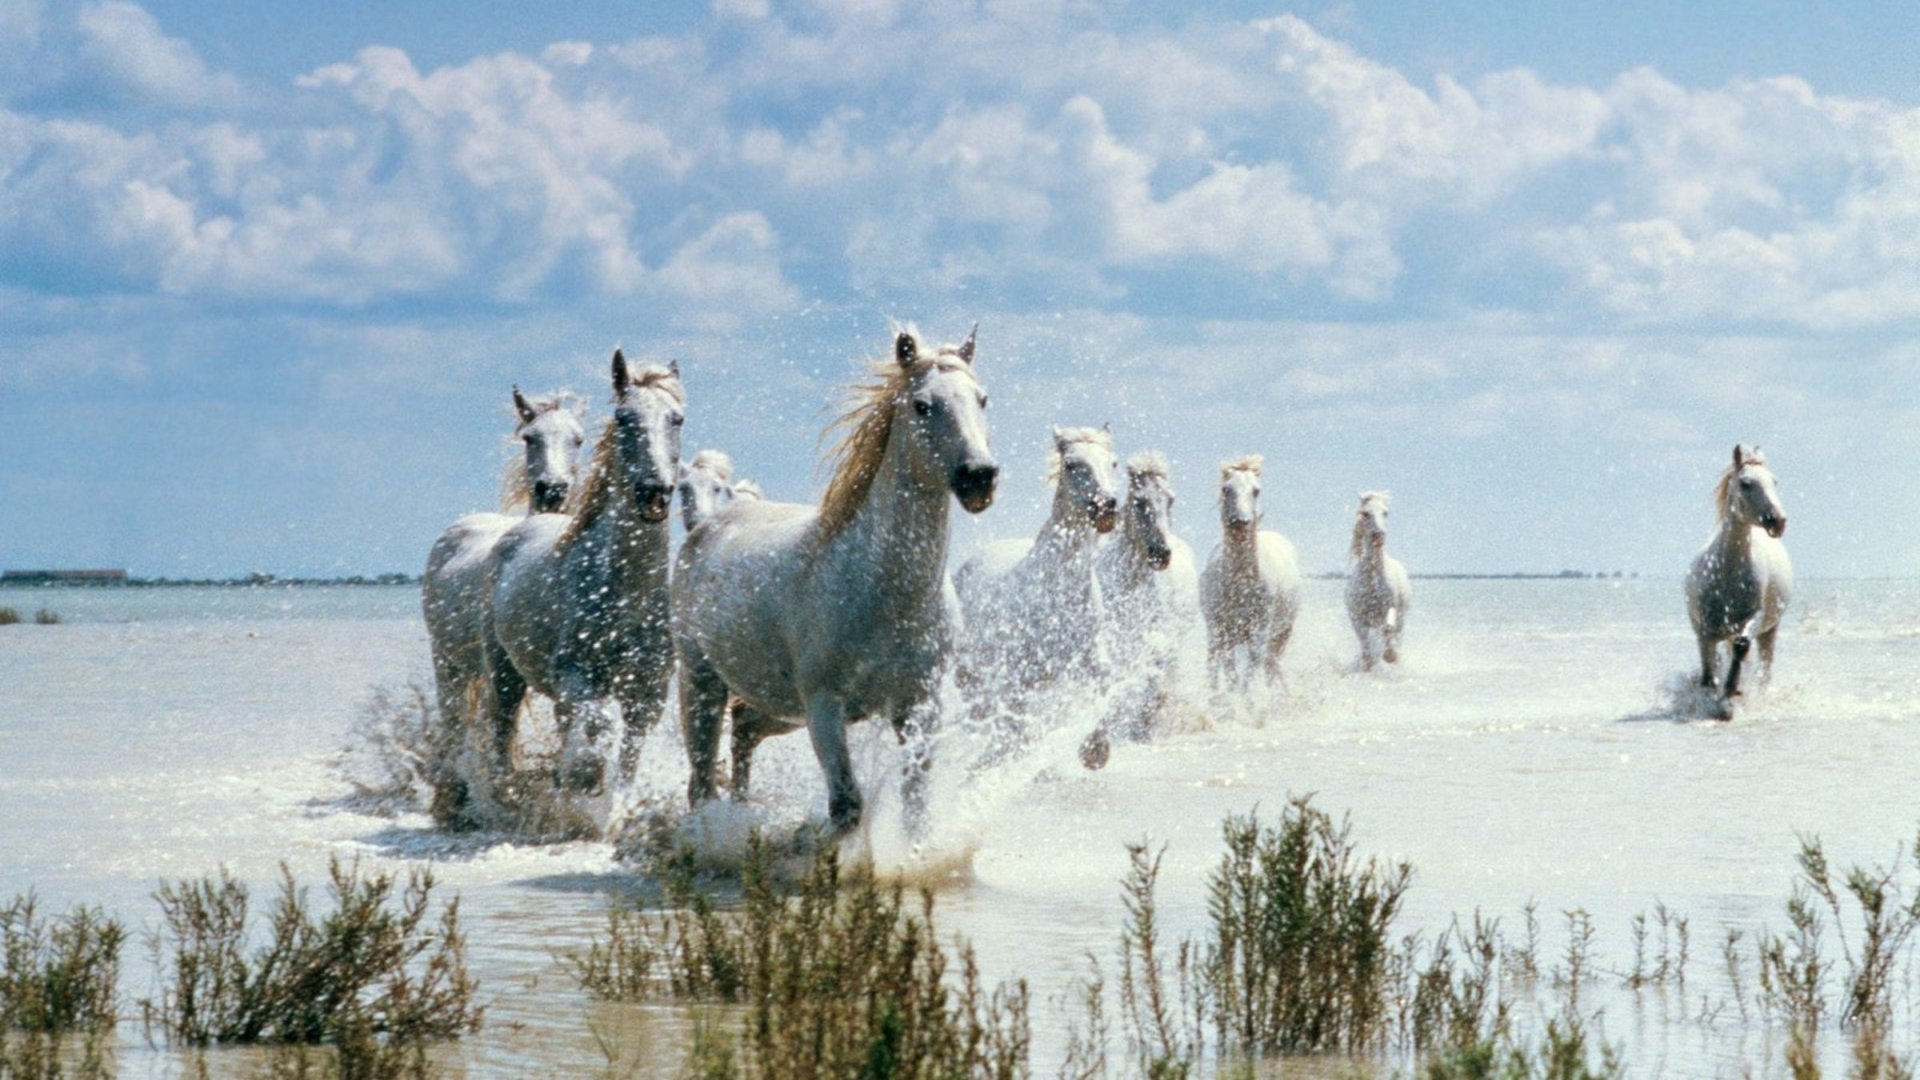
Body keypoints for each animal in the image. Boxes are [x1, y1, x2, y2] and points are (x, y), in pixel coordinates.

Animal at [484, 351, 685, 797]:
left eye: (677, 418)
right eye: (624, 418)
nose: (654, 492)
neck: (627, 592)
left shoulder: (648, 691)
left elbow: (628, 757)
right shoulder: (574, 676)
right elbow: (597, 727)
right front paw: (583, 778)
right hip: (504, 669)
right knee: (502, 727)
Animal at [672, 327, 996, 833]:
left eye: (981, 399)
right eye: (923, 405)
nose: (979, 477)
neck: (883, 588)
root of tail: (707, 526)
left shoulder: (919, 703)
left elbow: (915, 804)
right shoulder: (824, 705)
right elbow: (847, 806)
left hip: (776, 705)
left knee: (743, 737)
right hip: (702, 682)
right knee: (702, 780)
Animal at [1199, 455, 1303, 695]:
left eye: (1256, 490)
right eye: (1226, 489)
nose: (1241, 522)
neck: (1240, 585)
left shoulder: (1259, 635)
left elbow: (1247, 680)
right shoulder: (1223, 633)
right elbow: (1230, 676)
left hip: (1282, 633)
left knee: (1271, 665)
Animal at [1345, 490, 1411, 671]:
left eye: (1385, 512)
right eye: (1366, 513)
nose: (1379, 536)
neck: (1372, 581)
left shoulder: (1391, 606)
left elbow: (1388, 629)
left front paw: (1390, 655)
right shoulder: (1356, 617)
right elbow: (1364, 643)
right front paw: (1368, 663)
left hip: (1402, 617)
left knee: (1396, 634)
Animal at [1685, 444, 1792, 716]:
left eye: (1774, 481)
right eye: (1746, 483)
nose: (1778, 521)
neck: (1728, 574)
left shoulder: (1754, 617)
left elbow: (1742, 647)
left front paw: (1729, 696)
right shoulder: (1704, 629)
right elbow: (1708, 671)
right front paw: (1713, 698)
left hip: (1770, 630)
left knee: (1763, 670)